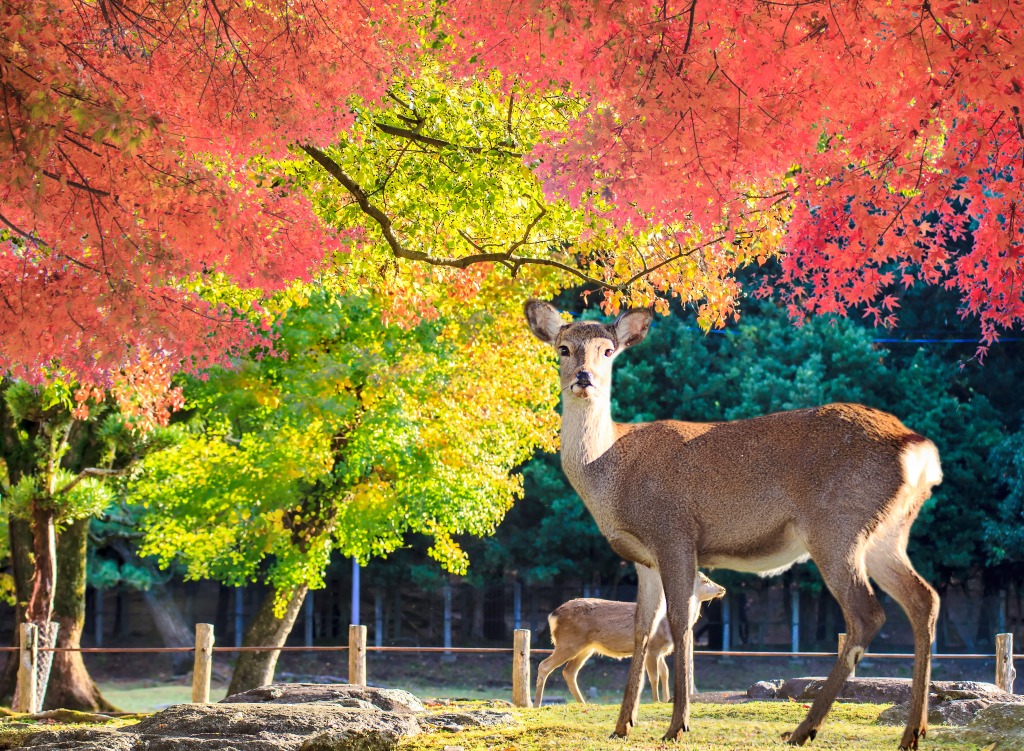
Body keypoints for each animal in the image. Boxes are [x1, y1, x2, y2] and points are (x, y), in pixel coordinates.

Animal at [532, 569, 724, 704]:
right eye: (705, 580)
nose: (722, 588)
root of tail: (552, 616)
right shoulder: (653, 647)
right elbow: (653, 675)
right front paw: (656, 700)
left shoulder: (661, 651)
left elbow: (665, 673)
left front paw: (666, 700)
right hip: (568, 642)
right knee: (544, 665)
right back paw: (536, 704)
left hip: (586, 647)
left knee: (569, 671)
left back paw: (583, 703)